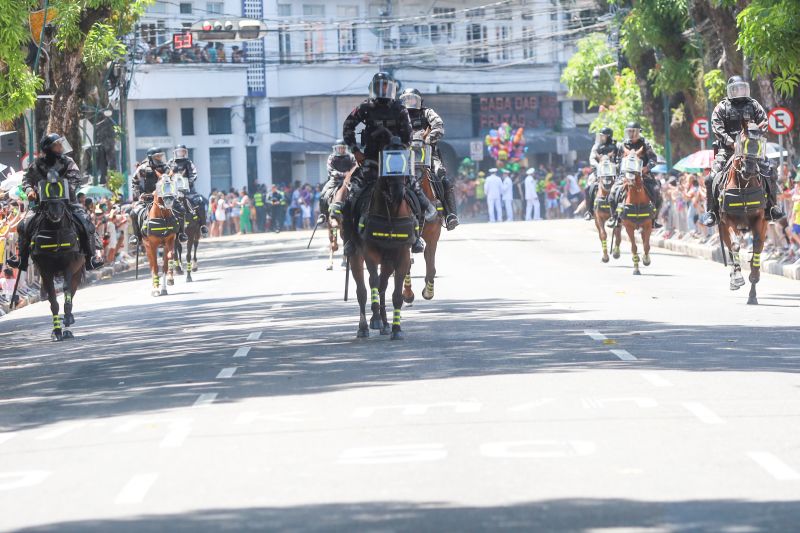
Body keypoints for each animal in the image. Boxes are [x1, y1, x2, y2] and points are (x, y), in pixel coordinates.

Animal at [720, 122, 768, 302]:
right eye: (742, 143)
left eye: (760, 145)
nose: (749, 170)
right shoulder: (729, 219)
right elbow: (734, 245)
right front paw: (738, 277)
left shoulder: (760, 220)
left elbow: (757, 246)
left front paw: (754, 277)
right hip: (722, 226)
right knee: (729, 246)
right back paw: (734, 277)